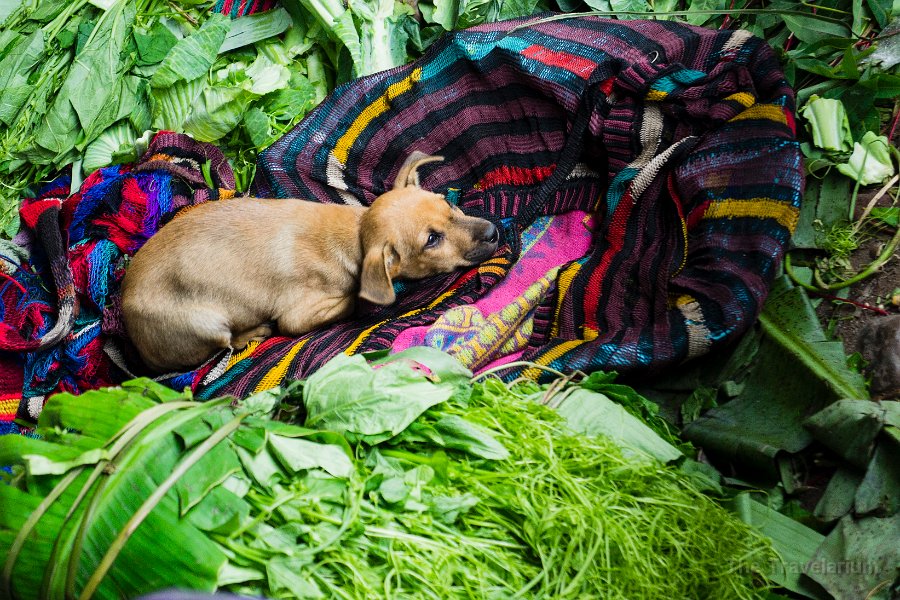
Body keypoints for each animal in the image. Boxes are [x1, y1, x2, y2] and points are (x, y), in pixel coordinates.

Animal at [120, 152, 500, 372]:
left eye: (447, 204)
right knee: (225, 344)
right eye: (431, 240)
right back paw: (253, 332)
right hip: (208, 325)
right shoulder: (296, 316)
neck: (356, 234)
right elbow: (352, 301)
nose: (495, 232)